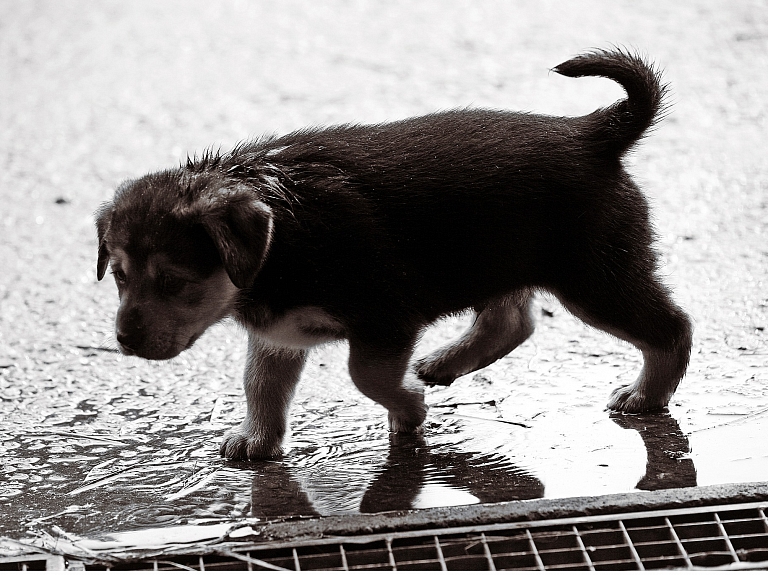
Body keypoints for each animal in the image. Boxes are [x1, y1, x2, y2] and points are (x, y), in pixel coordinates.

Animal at [97, 50, 696, 464]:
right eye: (119, 277)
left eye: (174, 282)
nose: (124, 341)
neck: (282, 236)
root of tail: (592, 132)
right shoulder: (278, 333)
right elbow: (260, 385)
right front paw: (257, 441)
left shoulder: (385, 317)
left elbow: (366, 375)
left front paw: (408, 408)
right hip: (497, 255)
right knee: (512, 319)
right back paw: (447, 361)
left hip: (595, 276)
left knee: (673, 328)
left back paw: (646, 395)